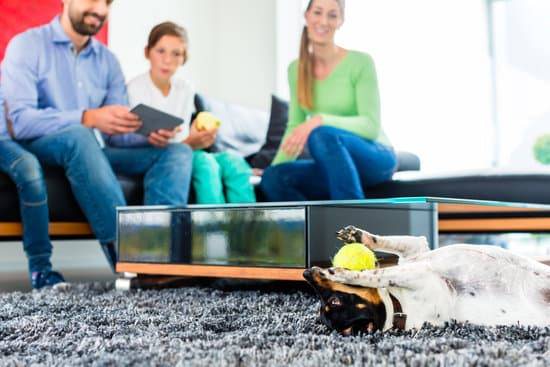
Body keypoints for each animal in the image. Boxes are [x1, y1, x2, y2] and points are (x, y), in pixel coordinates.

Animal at [304, 226, 550, 334]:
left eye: (334, 301)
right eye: (322, 308)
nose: (306, 273)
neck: (399, 306)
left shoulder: (415, 257)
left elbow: (380, 259)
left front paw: (354, 244)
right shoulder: (416, 267)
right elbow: (376, 273)